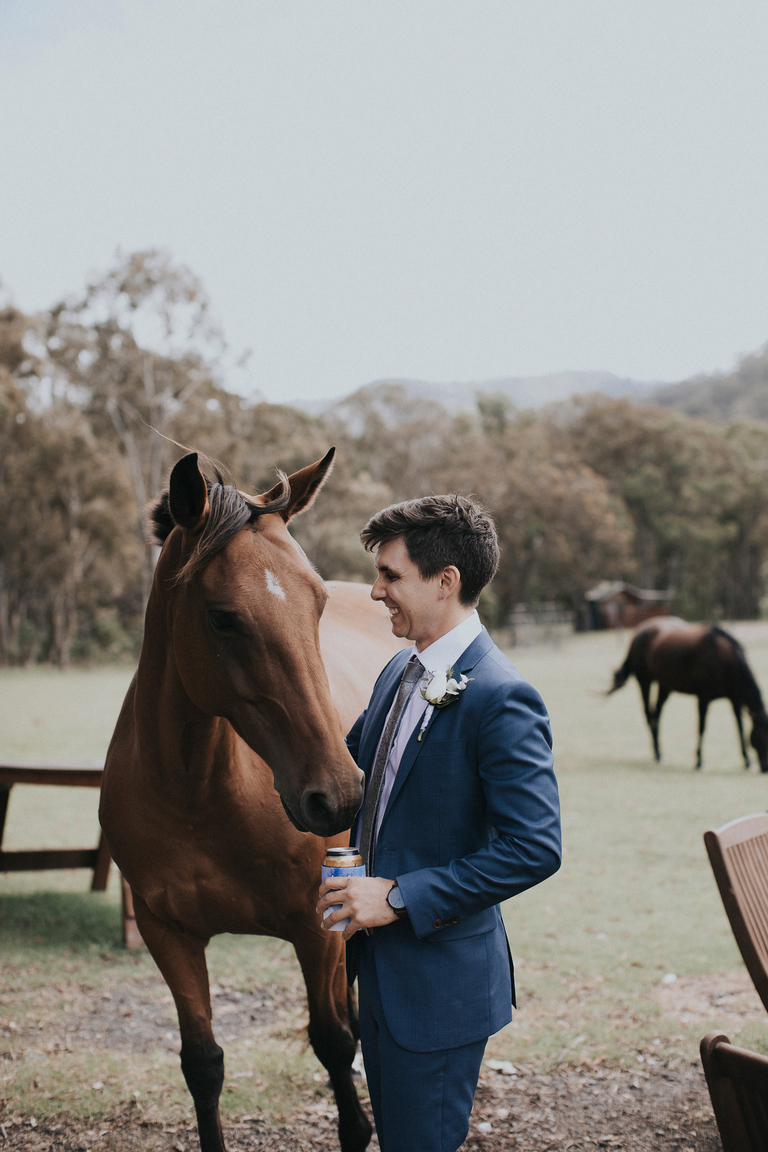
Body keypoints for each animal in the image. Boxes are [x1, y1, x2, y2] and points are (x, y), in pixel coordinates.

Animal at [101, 451, 402, 1152]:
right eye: (222, 617)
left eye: (316, 602)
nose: (337, 796)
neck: (195, 797)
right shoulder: (166, 933)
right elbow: (203, 1064)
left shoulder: (314, 929)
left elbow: (332, 1043)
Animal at [607, 617, 768, 769]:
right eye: (759, 738)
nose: (764, 769)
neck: (725, 660)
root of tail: (637, 633)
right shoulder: (703, 698)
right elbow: (702, 728)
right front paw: (699, 761)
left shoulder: (735, 700)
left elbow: (740, 729)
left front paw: (747, 762)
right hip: (645, 681)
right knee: (649, 714)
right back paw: (657, 753)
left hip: (665, 686)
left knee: (657, 713)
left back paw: (659, 752)